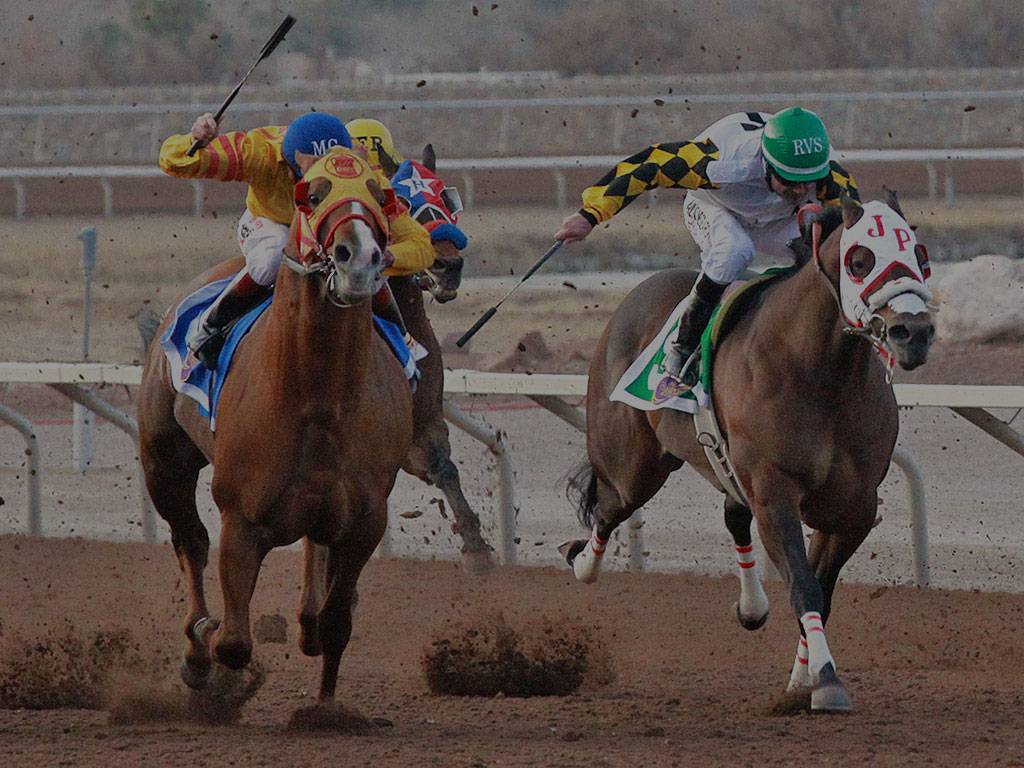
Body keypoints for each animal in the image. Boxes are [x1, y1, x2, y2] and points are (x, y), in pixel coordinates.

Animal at [138, 147, 413, 708]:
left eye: (380, 193)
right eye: (312, 192)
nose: (359, 258)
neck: (319, 398)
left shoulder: (365, 519)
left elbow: (335, 623)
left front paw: (325, 709)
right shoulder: (241, 519)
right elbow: (233, 642)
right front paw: (208, 653)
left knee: (312, 553)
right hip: (163, 463)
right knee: (190, 541)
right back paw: (196, 646)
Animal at [569, 193, 937, 716]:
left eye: (920, 256)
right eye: (860, 260)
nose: (914, 333)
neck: (819, 371)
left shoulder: (854, 506)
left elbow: (821, 589)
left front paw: (802, 680)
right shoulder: (775, 492)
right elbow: (803, 585)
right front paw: (826, 680)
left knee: (729, 511)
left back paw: (751, 606)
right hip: (633, 465)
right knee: (609, 508)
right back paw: (583, 563)